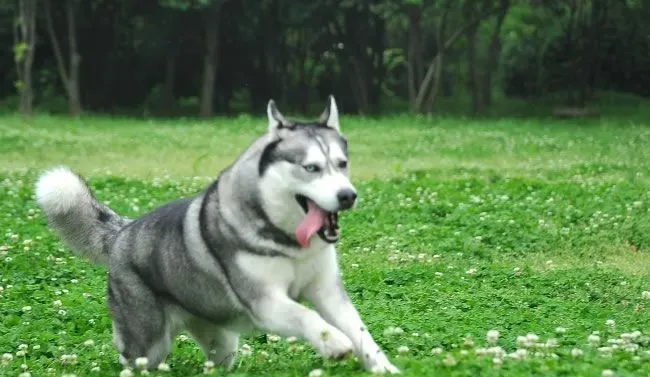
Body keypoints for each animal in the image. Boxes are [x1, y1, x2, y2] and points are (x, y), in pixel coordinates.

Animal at [36, 97, 400, 374]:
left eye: (342, 163)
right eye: (311, 168)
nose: (347, 196)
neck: (288, 242)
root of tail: (124, 231)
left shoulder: (327, 291)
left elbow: (361, 332)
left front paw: (384, 367)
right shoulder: (266, 303)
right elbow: (307, 316)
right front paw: (335, 343)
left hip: (222, 342)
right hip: (148, 346)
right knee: (135, 361)